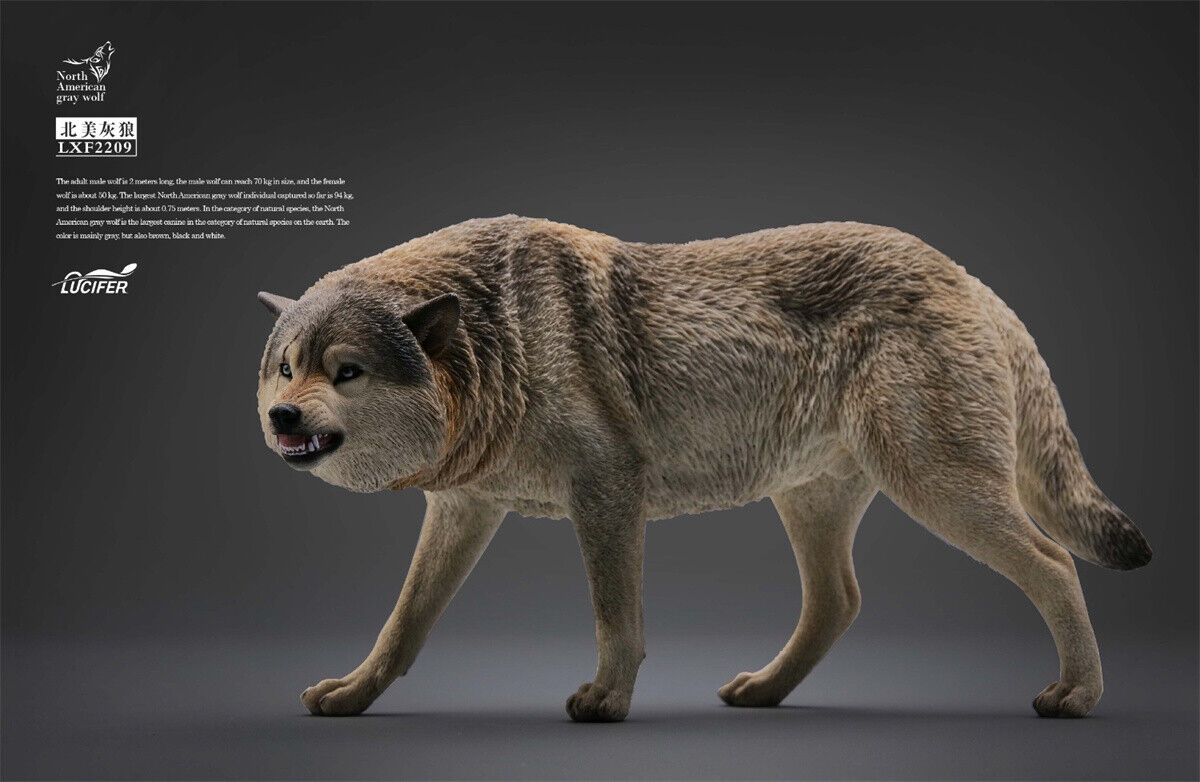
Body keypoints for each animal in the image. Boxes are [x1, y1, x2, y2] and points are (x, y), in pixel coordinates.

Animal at [256, 216, 1150, 722]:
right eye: (285, 368)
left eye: (346, 372)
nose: (281, 419)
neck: (500, 341)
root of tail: (967, 277)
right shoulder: (465, 508)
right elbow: (403, 623)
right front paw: (350, 695)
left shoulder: (607, 491)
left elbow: (616, 617)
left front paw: (608, 703)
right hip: (814, 502)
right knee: (840, 599)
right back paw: (764, 692)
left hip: (938, 487)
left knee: (1053, 562)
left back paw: (1077, 697)